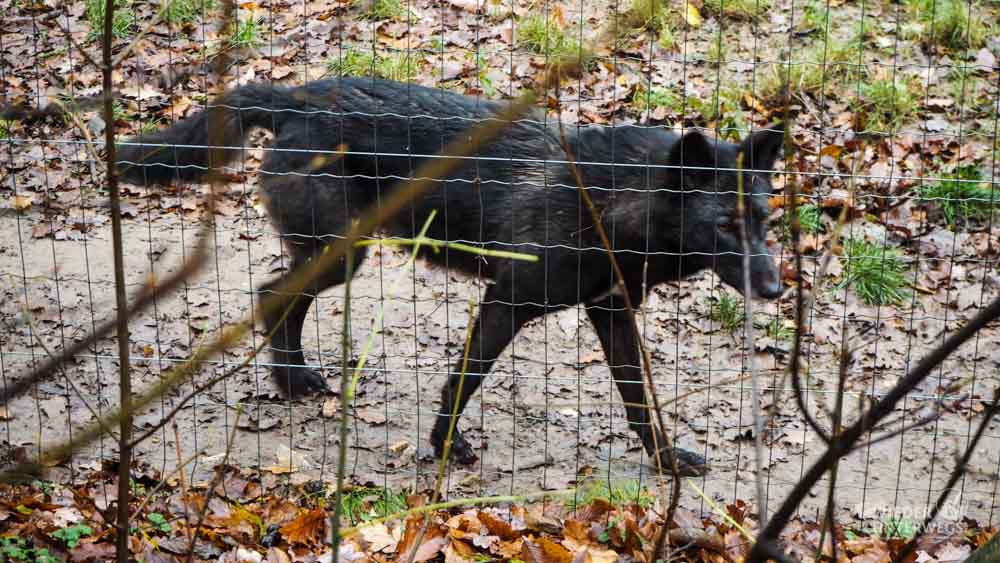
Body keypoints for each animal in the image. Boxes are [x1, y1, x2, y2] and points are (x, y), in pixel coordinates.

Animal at [117, 78, 784, 476]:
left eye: (763, 220)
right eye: (725, 225)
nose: (778, 290)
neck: (612, 202)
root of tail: (299, 95)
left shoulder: (611, 312)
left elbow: (640, 401)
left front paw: (667, 462)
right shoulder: (506, 302)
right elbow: (464, 381)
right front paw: (444, 448)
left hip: (342, 256)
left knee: (276, 296)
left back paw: (291, 378)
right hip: (344, 254)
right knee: (271, 293)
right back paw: (288, 379)